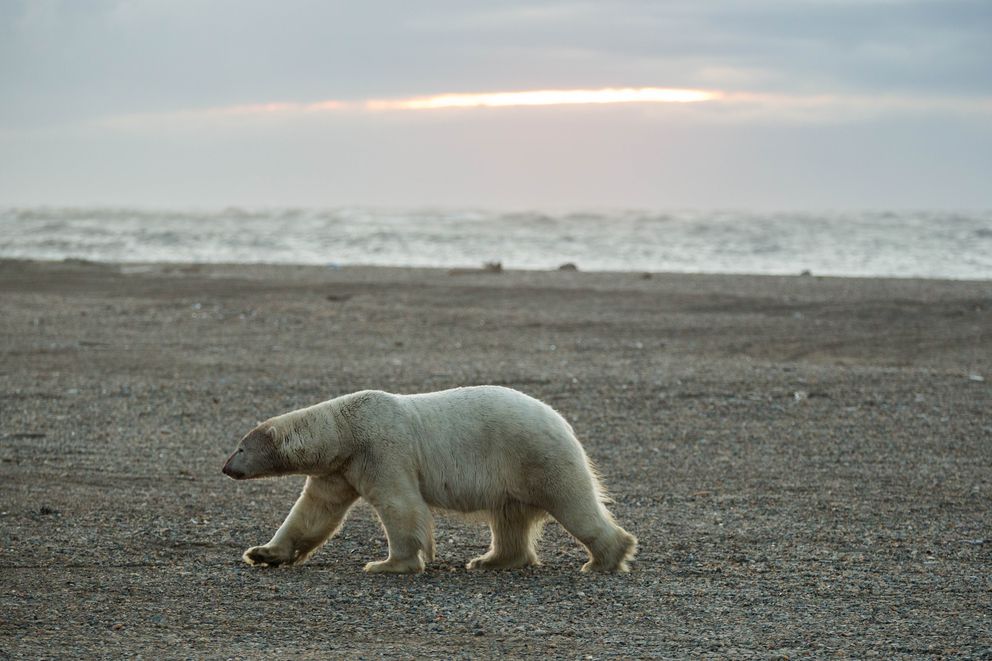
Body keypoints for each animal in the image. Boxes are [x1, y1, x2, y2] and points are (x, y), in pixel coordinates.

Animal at [221, 386, 636, 572]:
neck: (345, 428)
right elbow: (313, 512)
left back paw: (605, 558)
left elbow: (401, 505)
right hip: (515, 474)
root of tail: (562, 422)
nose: (225, 467)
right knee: (510, 519)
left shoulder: (382, 450)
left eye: (240, 447)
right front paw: (263, 553)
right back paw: (489, 560)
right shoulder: (341, 470)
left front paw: (387, 564)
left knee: (573, 503)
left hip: (535, 456)